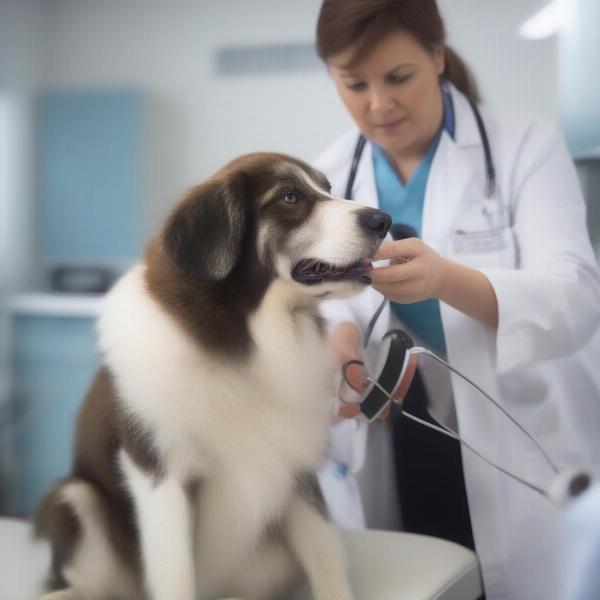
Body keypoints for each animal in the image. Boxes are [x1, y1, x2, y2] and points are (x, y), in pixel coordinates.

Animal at [35, 152, 392, 596]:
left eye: (328, 188)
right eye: (290, 196)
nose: (383, 220)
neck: (248, 336)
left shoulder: (296, 465)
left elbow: (325, 551)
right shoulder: (160, 471)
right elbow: (174, 572)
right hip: (72, 500)